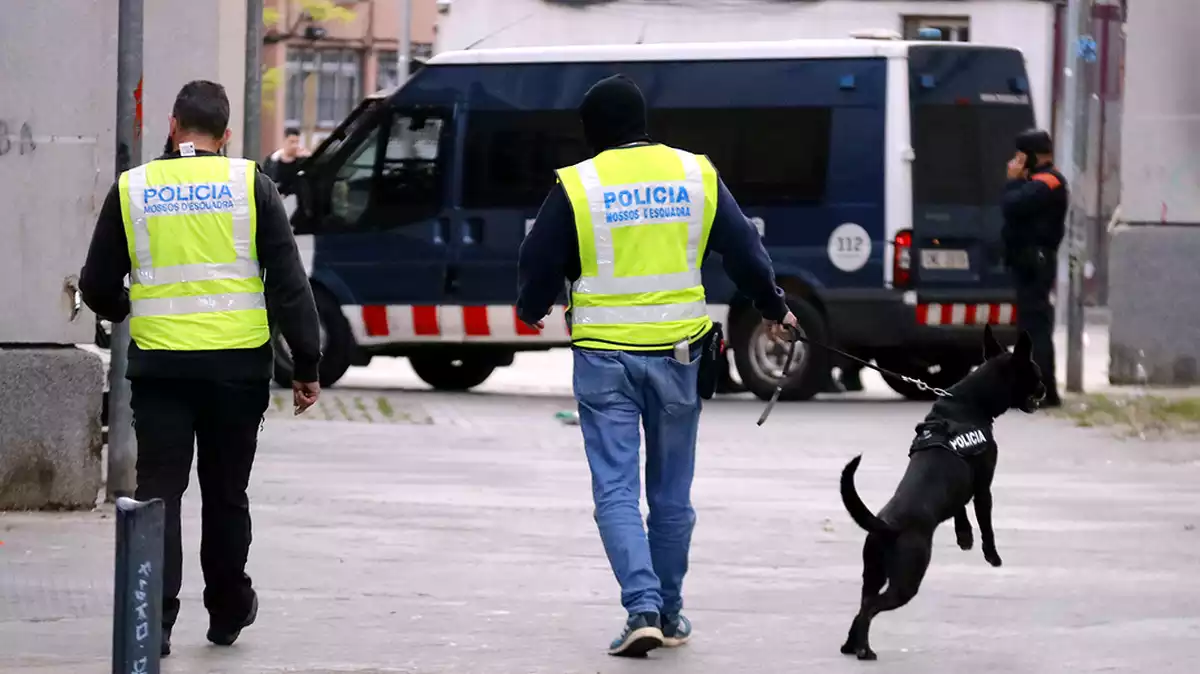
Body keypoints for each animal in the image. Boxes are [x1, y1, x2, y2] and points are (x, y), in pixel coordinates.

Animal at [840, 323, 1046, 657]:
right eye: (1036, 374)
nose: (1044, 389)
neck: (968, 403)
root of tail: (885, 525)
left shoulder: (962, 487)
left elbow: (959, 509)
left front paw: (964, 536)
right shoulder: (984, 487)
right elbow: (986, 523)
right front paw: (992, 555)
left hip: (871, 572)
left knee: (863, 603)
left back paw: (850, 644)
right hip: (907, 579)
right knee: (871, 607)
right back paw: (864, 650)